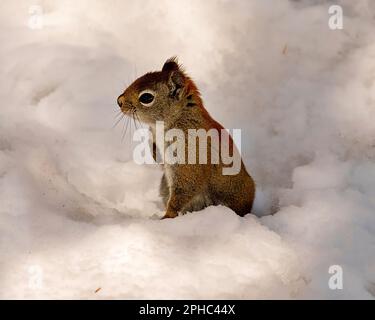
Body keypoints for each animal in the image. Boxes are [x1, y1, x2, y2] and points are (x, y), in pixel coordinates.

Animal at [118, 57, 256, 218]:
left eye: (146, 97)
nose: (119, 101)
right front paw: (153, 150)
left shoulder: (189, 157)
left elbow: (185, 188)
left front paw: (167, 217)